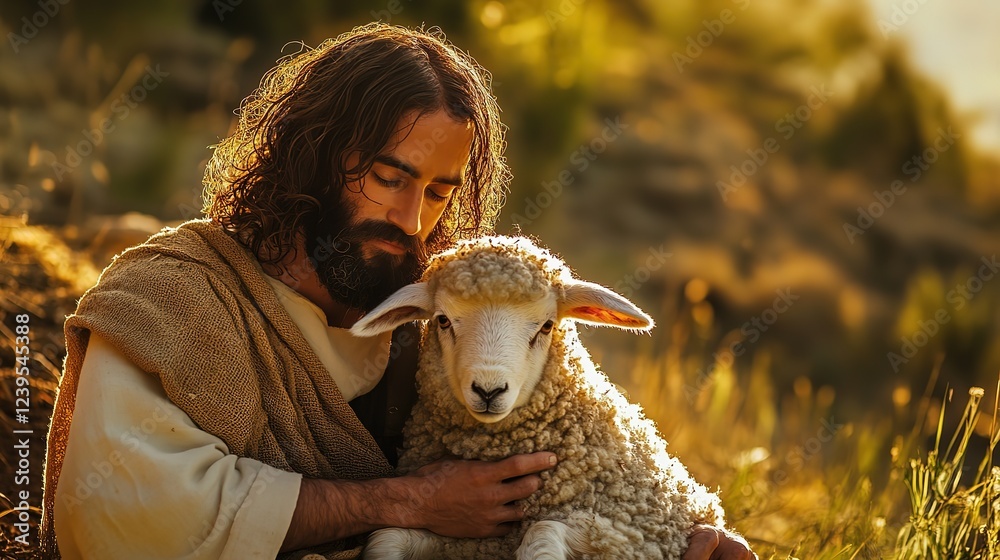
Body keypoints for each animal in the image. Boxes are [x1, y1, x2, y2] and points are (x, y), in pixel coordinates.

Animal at [350, 235, 727, 559]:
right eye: (442, 320)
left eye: (546, 326)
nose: (489, 390)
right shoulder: (466, 540)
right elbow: (385, 538)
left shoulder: (637, 538)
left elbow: (542, 534)